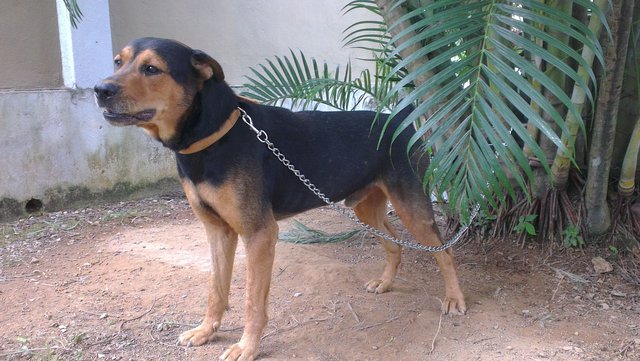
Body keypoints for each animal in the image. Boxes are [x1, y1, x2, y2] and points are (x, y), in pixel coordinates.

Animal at [95, 38, 464, 358]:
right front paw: (206, 330)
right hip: (365, 208)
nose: (100, 90)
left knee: (444, 252)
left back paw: (454, 299)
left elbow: (252, 303)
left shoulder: (259, 234)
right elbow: (216, 290)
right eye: (117, 62)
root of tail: (399, 120)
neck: (213, 137)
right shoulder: (217, 231)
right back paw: (386, 283)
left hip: (412, 208)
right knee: (394, 244)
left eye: (152, 68)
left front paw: (247, 347)